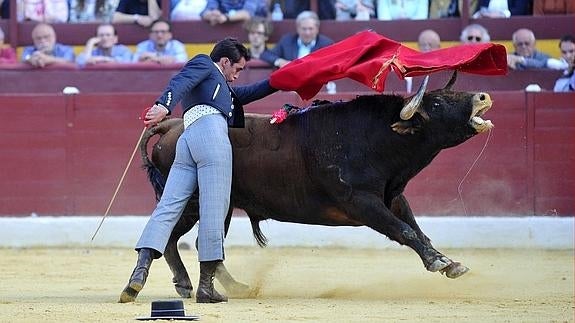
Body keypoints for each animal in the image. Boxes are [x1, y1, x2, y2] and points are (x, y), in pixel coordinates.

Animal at [135, 72, 496, 300]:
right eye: (435, 104)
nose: (482, 96)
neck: (375, 139)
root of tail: (173, 124)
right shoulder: (362, 203)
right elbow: (404, 231)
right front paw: (438, 263)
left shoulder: (392, 197)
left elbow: (418, 230)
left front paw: (450, 263)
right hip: (192, 201)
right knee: (172, 237)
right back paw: (184, 284)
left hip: (219, 204)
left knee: (200, 242)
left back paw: (233, 287)